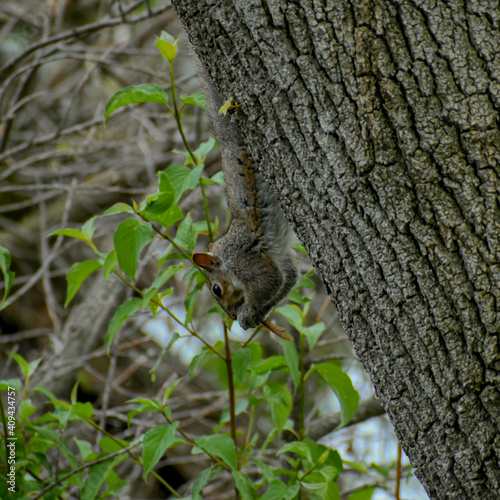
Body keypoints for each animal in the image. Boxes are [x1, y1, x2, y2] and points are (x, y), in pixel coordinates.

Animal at [193, 64, 298, 332]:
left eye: (216, 289)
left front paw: (246, 313)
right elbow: (287, 281)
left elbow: (268, 283)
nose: (230, 315)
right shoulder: (279, 259)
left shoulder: (246, 261)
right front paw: (255, 316)